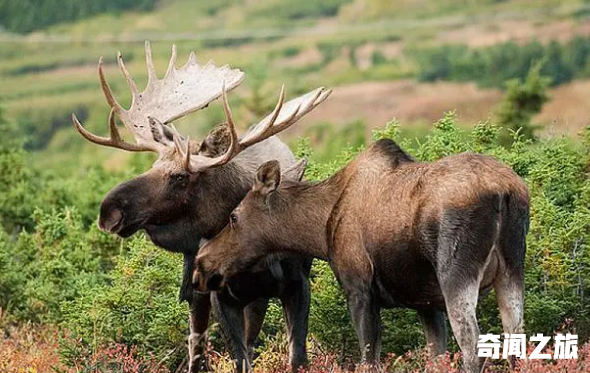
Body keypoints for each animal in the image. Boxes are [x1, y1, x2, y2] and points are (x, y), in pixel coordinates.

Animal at [71, 40, 330, 372]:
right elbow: (238, 358)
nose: (109, 211)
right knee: (197, 345)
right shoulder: (221, 295)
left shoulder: (297, 285)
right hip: (198, 287)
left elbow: (296, 356)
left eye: (180, 177)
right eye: (152, 166)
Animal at [195, 139, 532, 372]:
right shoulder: (426, 302)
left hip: (456, 271)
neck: (321, 231)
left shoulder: (358, 287)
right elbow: (436, 357)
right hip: (512, 269)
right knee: (516, 337)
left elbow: (368, 360)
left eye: (234, 216)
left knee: (473, 345)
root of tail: (505, 192)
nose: (202, 263)